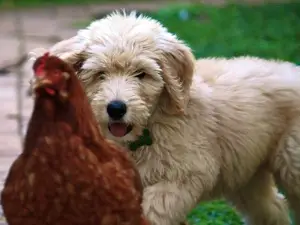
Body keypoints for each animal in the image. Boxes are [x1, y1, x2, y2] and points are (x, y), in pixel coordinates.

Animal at [27, 11, 298, 225]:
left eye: (141, 74)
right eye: (100, 74)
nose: (116, 108)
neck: (148, 129)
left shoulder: (185, 175)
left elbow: (154, 209)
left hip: (291, 162)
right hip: (247, 175)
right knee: (272, 208)